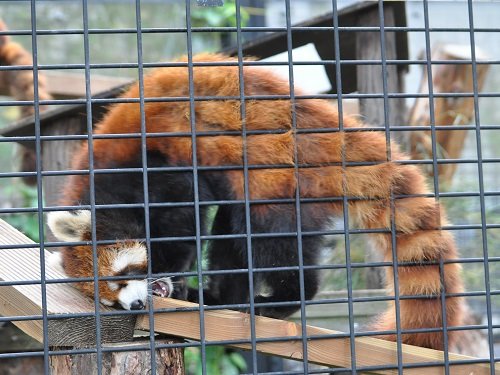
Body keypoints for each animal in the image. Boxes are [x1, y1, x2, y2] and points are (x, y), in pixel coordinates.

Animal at [47, 53, 464, 350]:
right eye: (109, 300)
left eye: (122, 278)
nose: (134, 306)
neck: (107, 187)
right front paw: (174, 285)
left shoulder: (157, 169)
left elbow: (185, 217)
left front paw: (166, 278)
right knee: (232, 235)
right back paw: (221, 299)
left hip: (279, 180)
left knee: (271, 240)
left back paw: (281, 299)